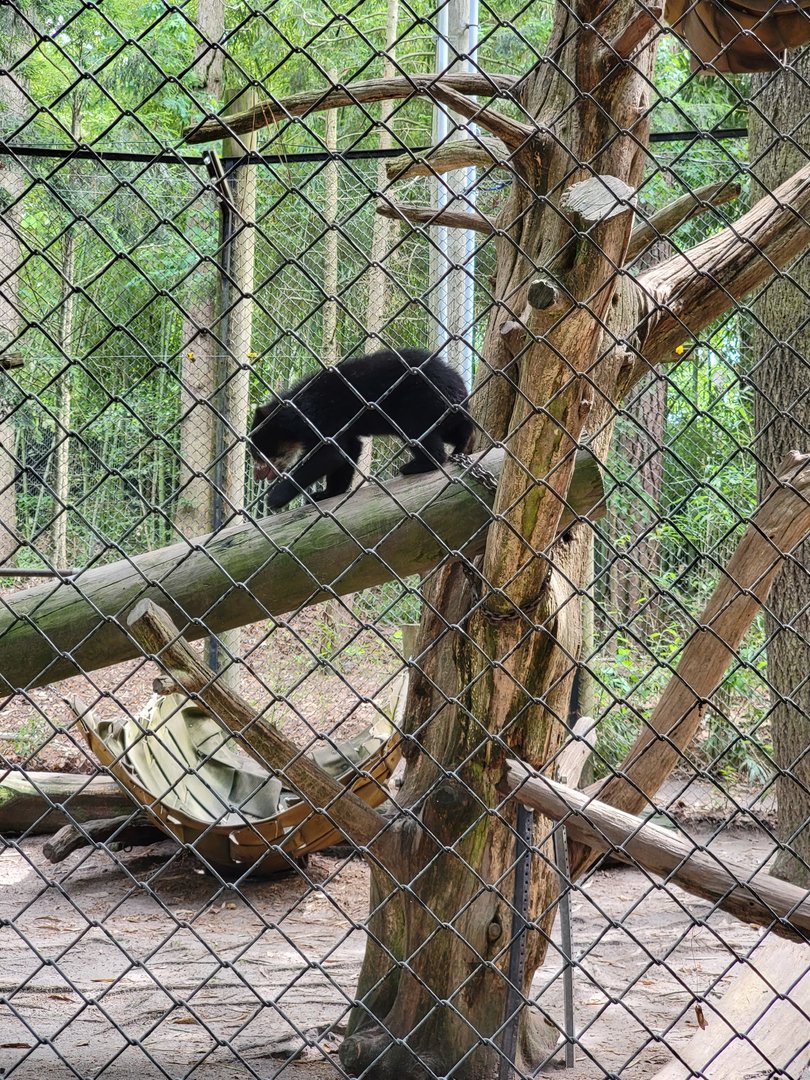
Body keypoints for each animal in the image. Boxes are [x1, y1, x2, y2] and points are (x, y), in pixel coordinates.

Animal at [249, 347, 473, 510]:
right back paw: (459, 449)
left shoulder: (319, 418)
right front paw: (326, 494)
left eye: (260, 454)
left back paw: (414, 466)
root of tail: (459, 389)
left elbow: (329, 455)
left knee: (418, 434)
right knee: (458, 431)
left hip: (419, 403)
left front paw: (274, 499)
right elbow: (349, 451)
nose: (257, 475)